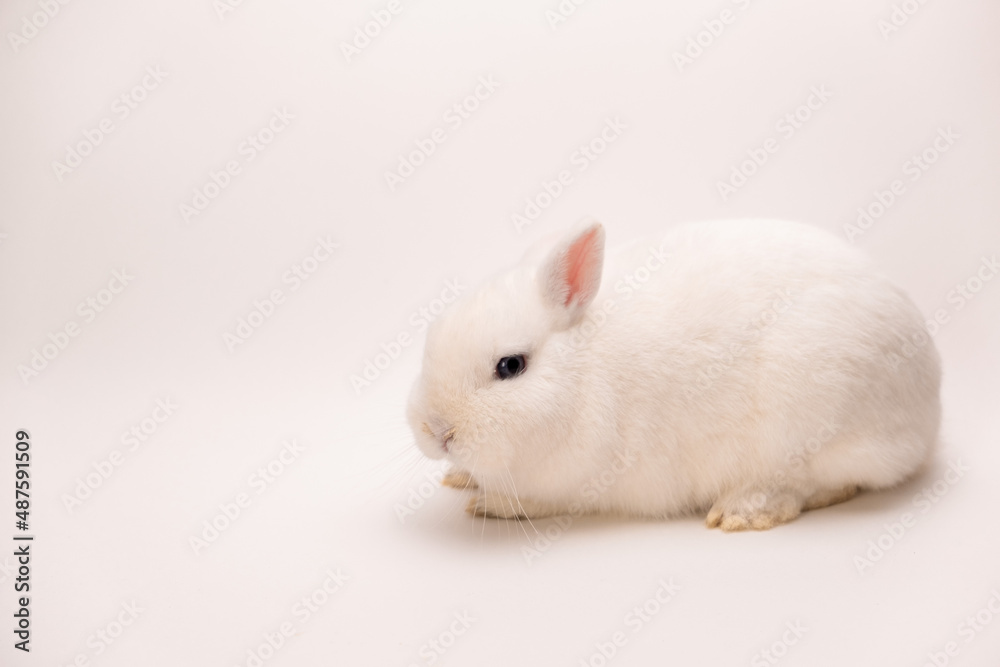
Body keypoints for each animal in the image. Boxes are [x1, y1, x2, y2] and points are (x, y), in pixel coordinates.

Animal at [406, 218, 941, 531]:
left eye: (511, 366)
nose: (437, 431)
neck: (583, 373)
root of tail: (928, 413)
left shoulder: (577, 482)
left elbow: (537, 501)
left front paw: (490, 504)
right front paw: (459, 477)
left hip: (811, 432)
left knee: (822, 484)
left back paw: (744, 511)